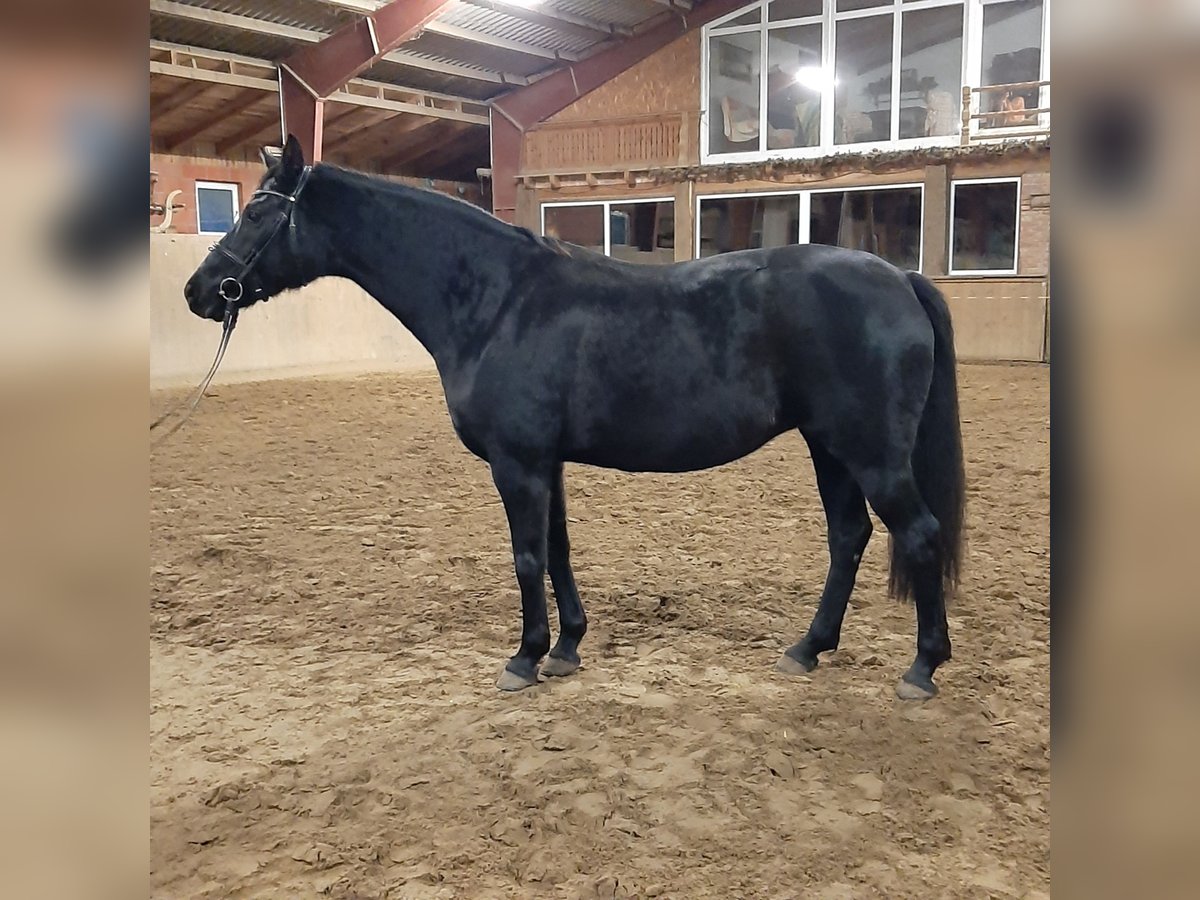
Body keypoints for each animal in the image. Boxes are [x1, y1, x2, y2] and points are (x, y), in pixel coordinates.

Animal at [182, 137, 964, 705]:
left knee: (919, 533)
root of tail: (899, 278)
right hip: (830, 448)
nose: (198, 291)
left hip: (869, 453)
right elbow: (557, 551)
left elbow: (527, 557)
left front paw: (524, 658)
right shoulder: (544, 463)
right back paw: (808, 649)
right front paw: (565, 648)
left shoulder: (518, 463)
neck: (498, 299)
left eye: (258, 214)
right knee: (849, 537)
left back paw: (922, 669)